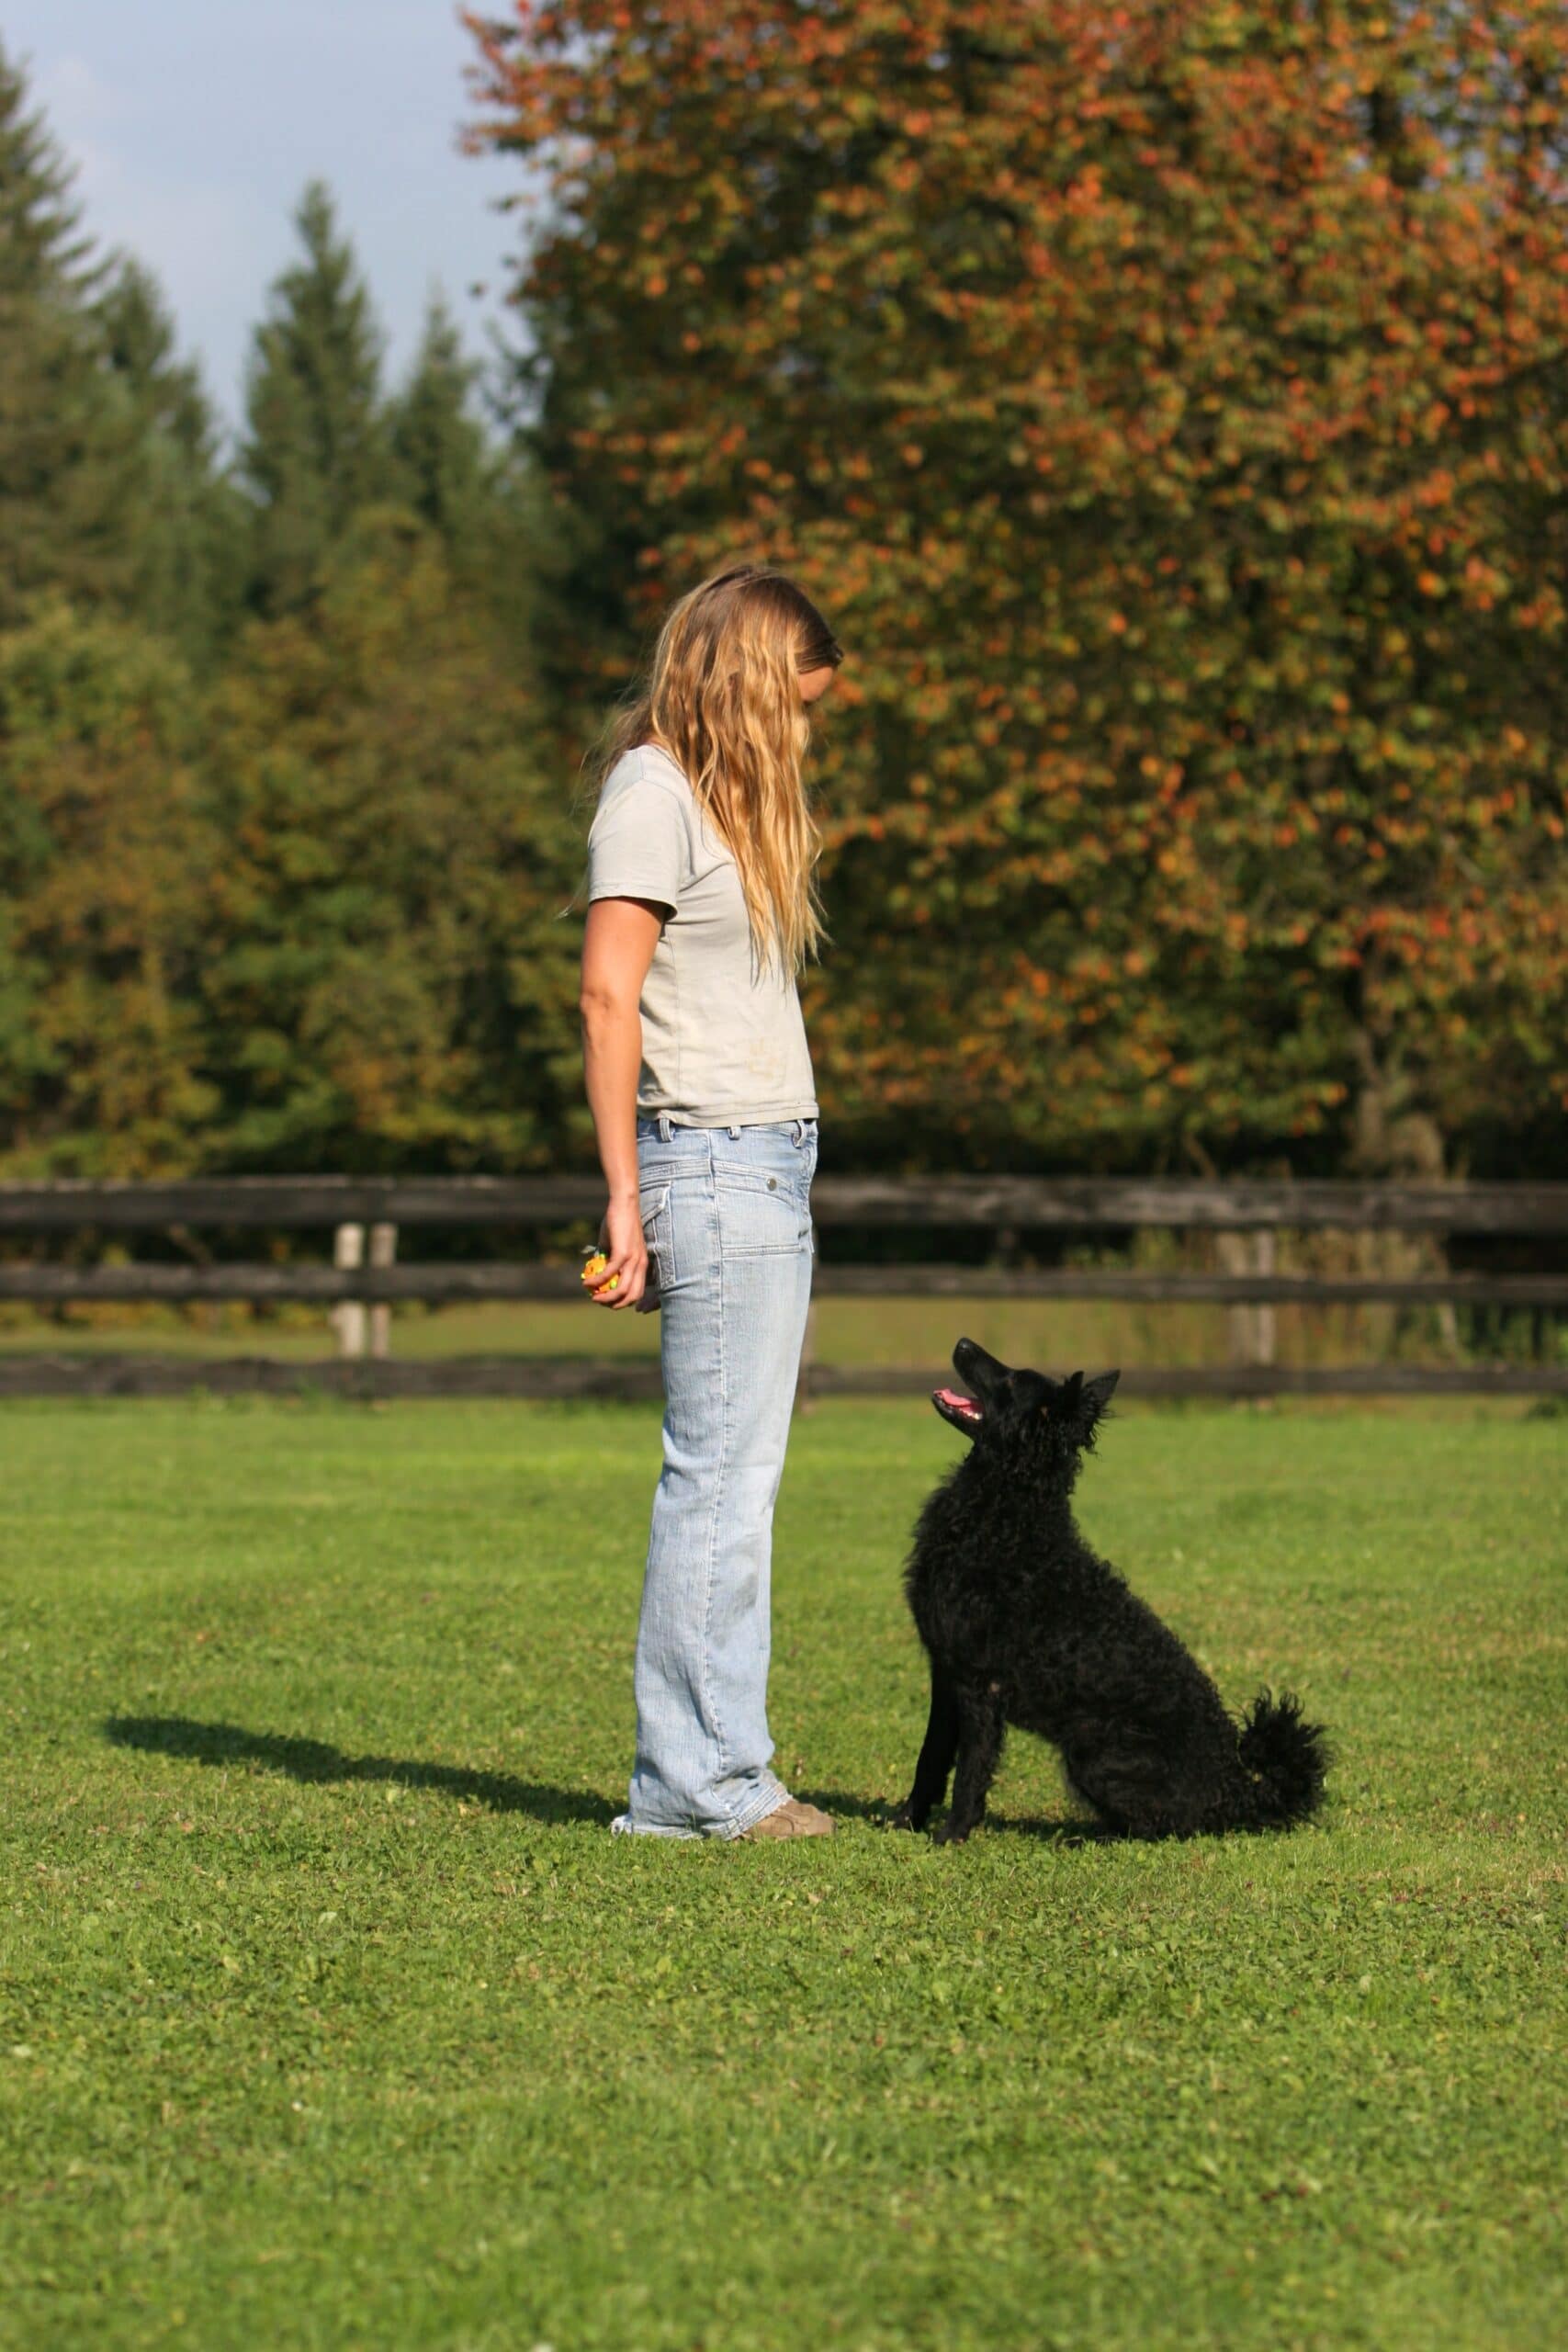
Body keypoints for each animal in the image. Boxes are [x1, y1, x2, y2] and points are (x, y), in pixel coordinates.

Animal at [893, 1345, 1325, 1834]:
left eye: (1012, 1379)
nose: (964, 1343)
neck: (1006, 1513)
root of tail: (1238, 1789)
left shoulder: (978, 1684)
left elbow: (970, 1770)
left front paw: (952, 1835)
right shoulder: (946, 1673)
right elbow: (930, 1757)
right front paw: (907, 1821)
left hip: (1092, 1752)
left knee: (1163, 1826)